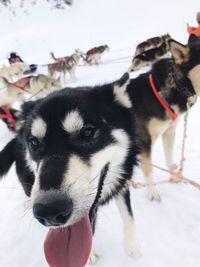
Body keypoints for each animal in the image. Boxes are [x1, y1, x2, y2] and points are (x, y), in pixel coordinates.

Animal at [0, 73, 141, 266]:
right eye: (34, 142)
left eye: (87, 132)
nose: (49, 211)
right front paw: (91, 253)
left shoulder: (123, 185)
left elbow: (129, 216)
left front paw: (132, 245)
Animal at [127, 37, 199, 201]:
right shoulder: (144, 142)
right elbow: (148, 169)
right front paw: (152, 193)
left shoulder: (169, 131)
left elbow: (169, 159)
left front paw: (174, 177)